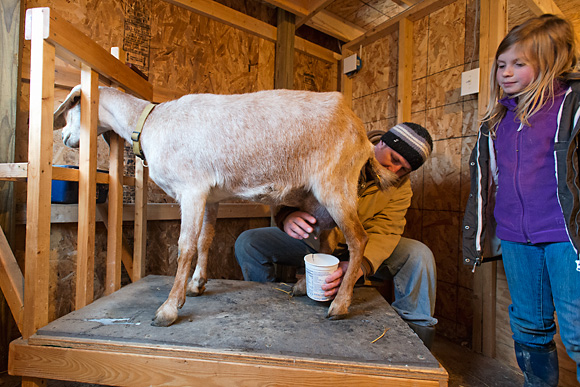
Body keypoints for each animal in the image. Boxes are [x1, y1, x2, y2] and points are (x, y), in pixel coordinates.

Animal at [54, 85, 396, 328]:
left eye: (71, 108)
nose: (66, 138)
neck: (151, 123)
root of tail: (362, 135)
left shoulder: (191, 189)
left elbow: (185, 247)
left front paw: (168, 309)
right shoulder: (210, 196)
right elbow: (205, 240)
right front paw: (196, 285)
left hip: (336, 185)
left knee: (358, 240)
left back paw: (340, 305)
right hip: (318, 199)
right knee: (326, 242)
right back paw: (305, 286)